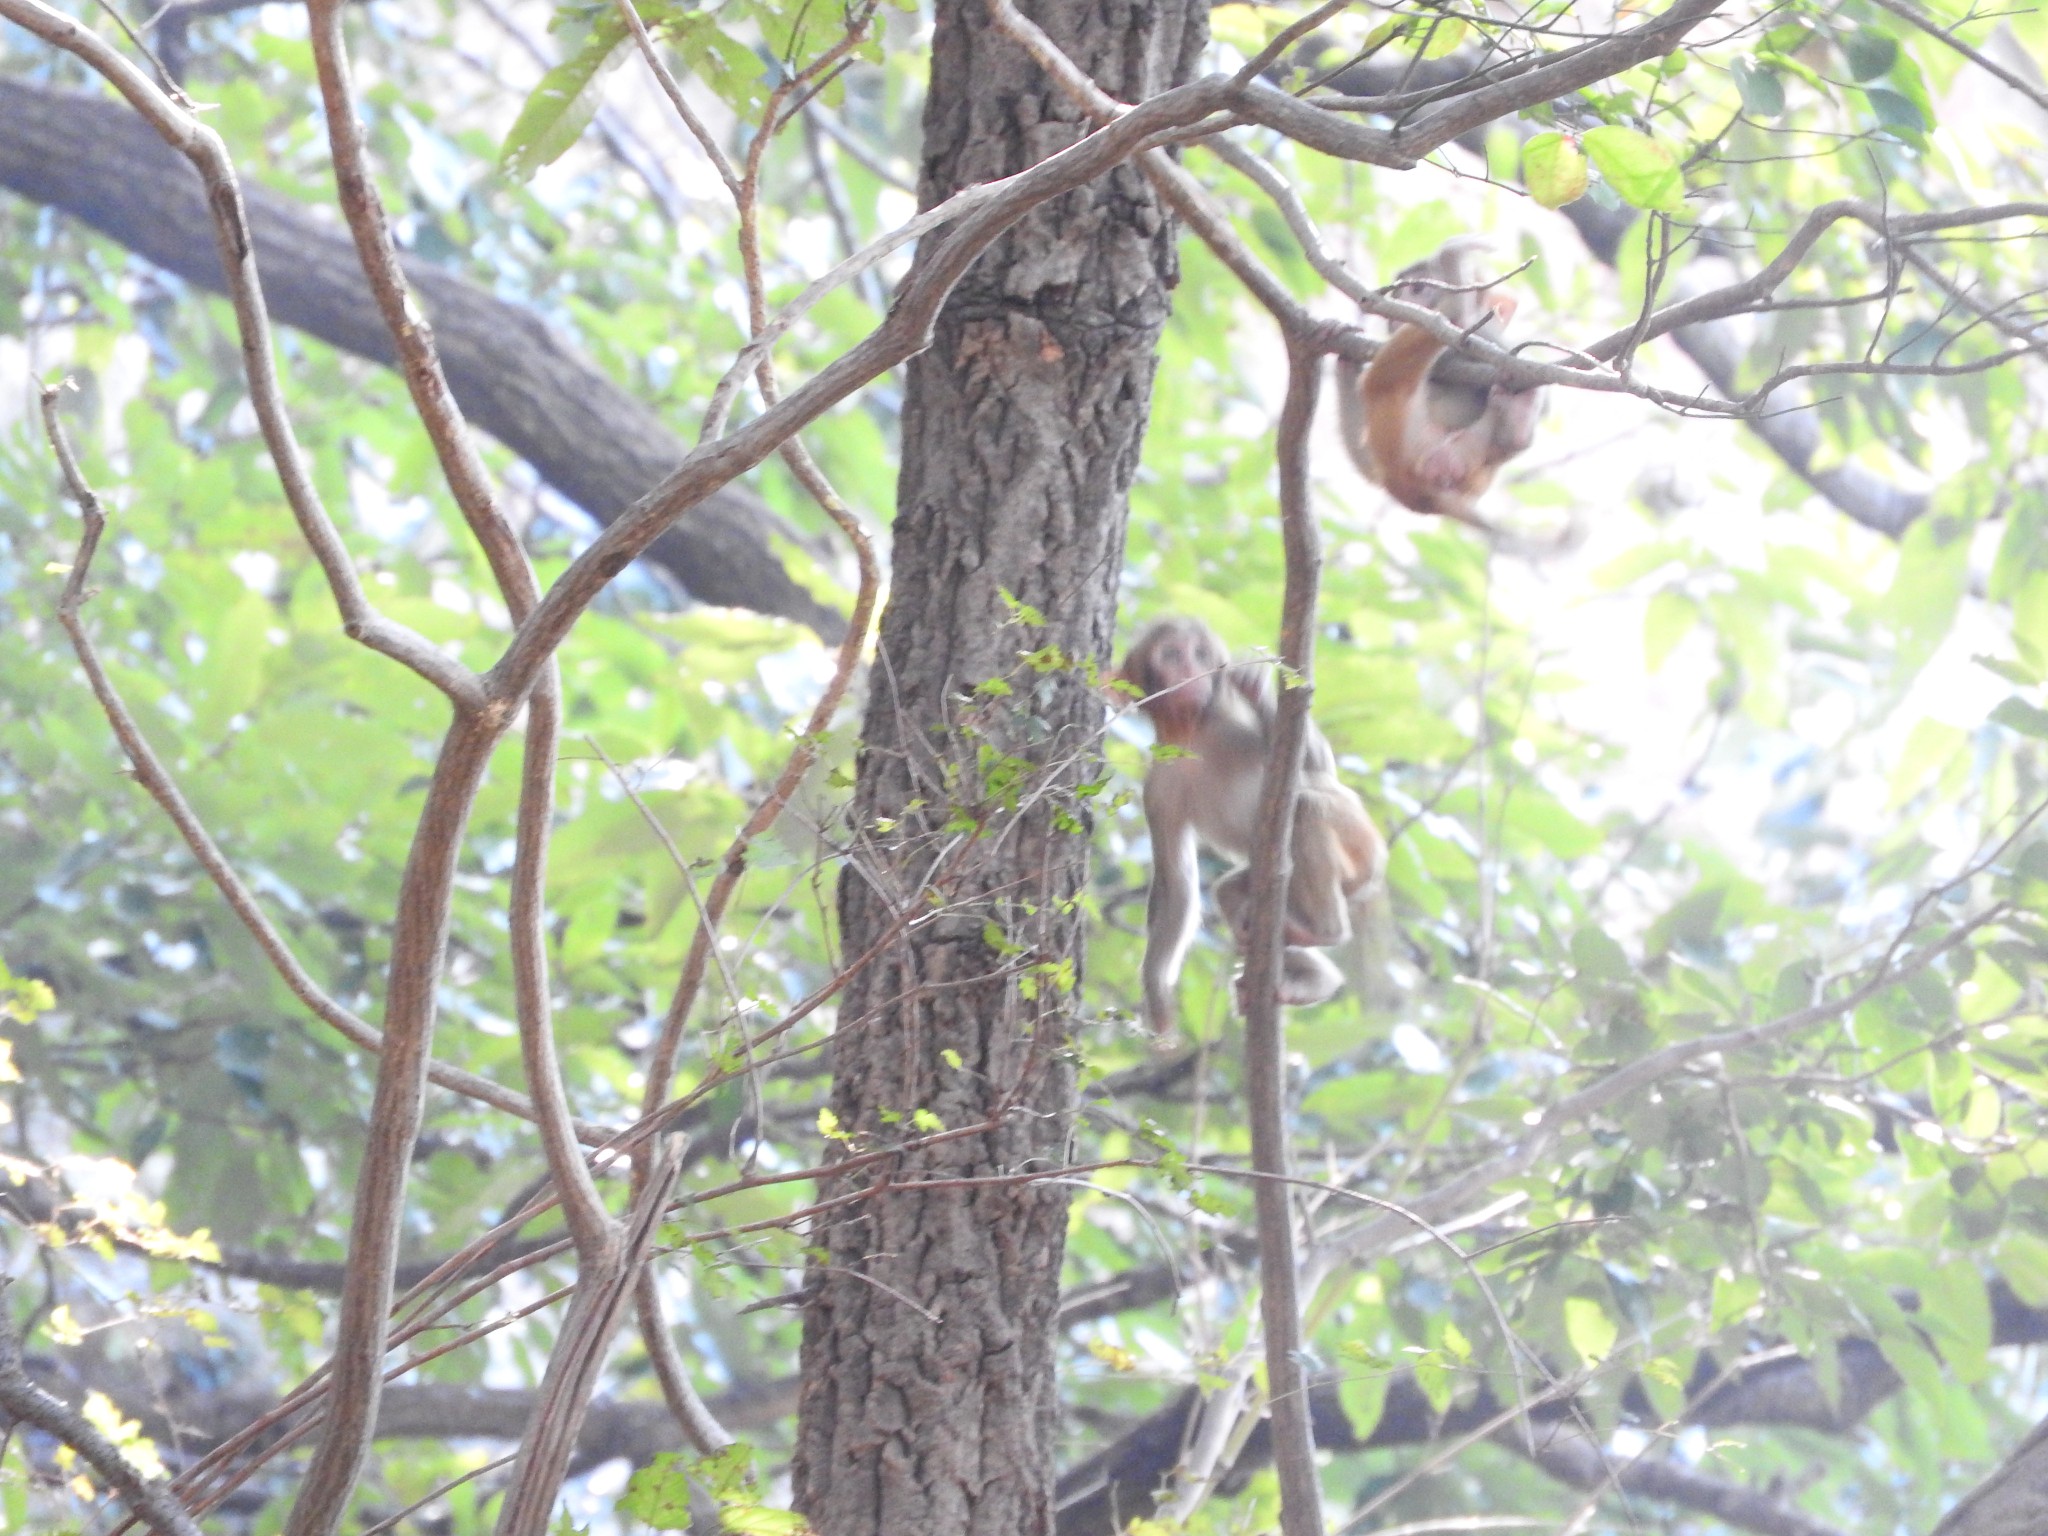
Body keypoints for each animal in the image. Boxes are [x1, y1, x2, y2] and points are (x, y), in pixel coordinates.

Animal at [1122, 618, 1392, 1040]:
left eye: (1199, 653)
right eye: (1171, 654)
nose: (1191, 670)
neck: (1193, 733)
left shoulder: (1232, 726)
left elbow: (1318, 770)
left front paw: (1256, 685)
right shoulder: (1157, 787)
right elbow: (1177, 884)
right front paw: (1156, 994)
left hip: (1361, 845)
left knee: (1308, 807)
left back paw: (1324, 931)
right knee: (1230, 889)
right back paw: (1304, 976)